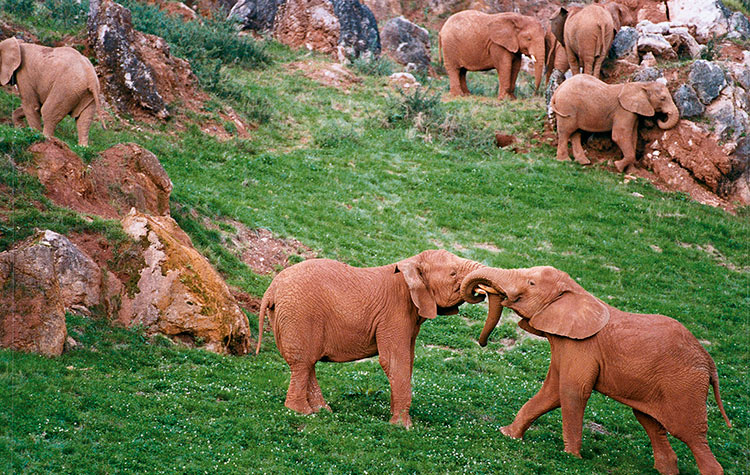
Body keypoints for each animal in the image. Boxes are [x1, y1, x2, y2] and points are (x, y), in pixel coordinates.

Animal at [256, 249, 484, 428]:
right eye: (453, 273)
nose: (481, 292)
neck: (411, 263)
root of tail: (271, 289)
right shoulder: (394, 313)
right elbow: (394, 361)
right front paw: (403, 427)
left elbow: (407, 361)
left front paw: (397, 419)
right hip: (299, 314)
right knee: (303, 363)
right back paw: (304, 412)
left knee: (307, 362)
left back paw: (323, 410)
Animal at [462, 266, 732, 475]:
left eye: (531, 282)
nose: (483, 343)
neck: (577, 291)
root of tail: (709, 361)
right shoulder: (565, 344)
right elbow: (552, 392)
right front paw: (508, 434)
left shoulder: (583, 347)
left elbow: (572, 392)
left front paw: (571, 458)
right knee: (651, 423)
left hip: (685, 385)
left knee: (690, 434)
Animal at [552, 76, 680, 175]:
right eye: (663, 99)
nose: (659, 119)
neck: (642, 85)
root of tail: (557, 90)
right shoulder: (624, 111)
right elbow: (619, 135)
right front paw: (618, 167)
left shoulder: (633, 112)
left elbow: (632, 137)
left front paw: (632, 172)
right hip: (567, 106)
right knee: (565, 132)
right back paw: (564, 161)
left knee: (576, 133)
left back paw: (583, 162)